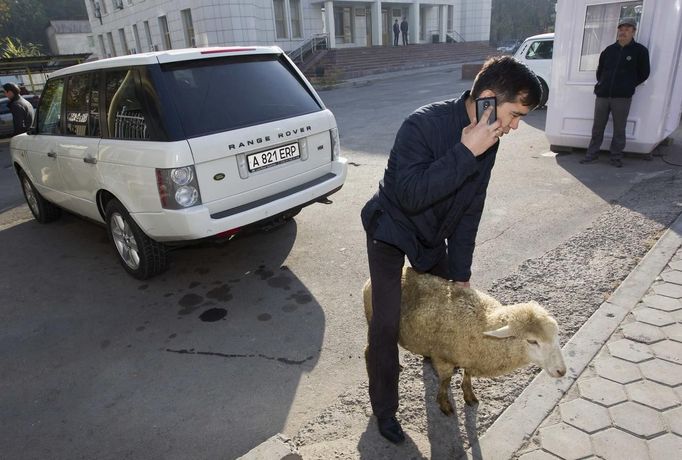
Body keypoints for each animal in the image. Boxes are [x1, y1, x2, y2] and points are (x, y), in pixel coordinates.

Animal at [362, 266, 564, 414]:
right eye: (532, 341)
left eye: (556, 335)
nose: (562, 371)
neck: (482, 325)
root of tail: (369, 281)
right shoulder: (443, 358)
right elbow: (445, 381)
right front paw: (444, 403)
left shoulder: (470, 356)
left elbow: (467, 375)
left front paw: (469, 394)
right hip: (375, 320)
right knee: (370, 350)